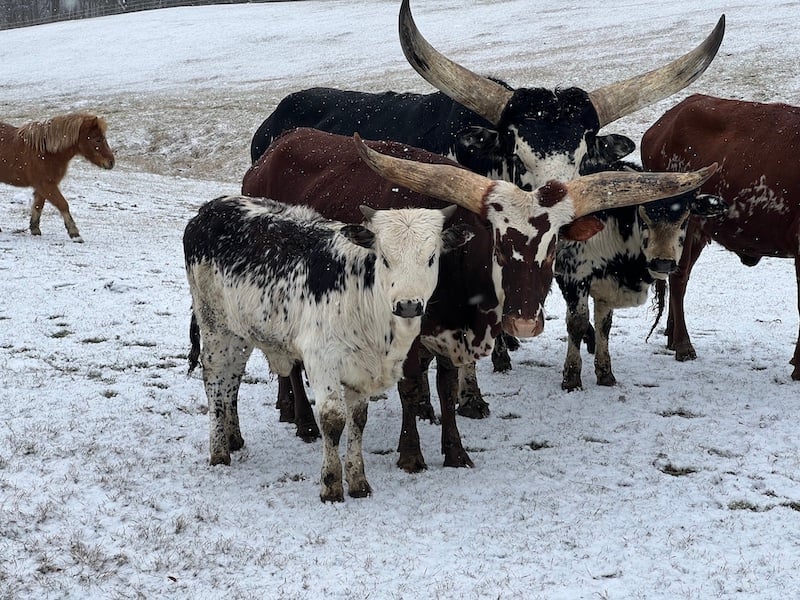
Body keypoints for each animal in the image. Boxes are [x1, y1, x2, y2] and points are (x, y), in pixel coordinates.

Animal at [552, 169, 728, 392]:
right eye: (643, 217)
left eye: (685, 219)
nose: (663, 263)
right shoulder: (574, 275)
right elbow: (578, 322)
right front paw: (572, 378)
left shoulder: (606, 287)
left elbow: (604, 325)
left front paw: (605, 373)